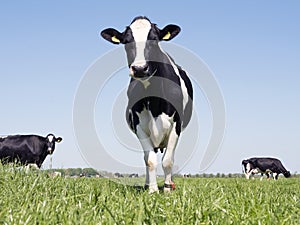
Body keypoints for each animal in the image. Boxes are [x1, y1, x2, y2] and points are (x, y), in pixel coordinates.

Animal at [101, 16, 193, 192]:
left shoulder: (176, 125)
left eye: (154, 39)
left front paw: (167, 189)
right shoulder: (139, 126)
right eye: (126, 41)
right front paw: (152, 190)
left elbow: (168, 160)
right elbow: (150, 160)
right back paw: (147, 184)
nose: (139, 68)